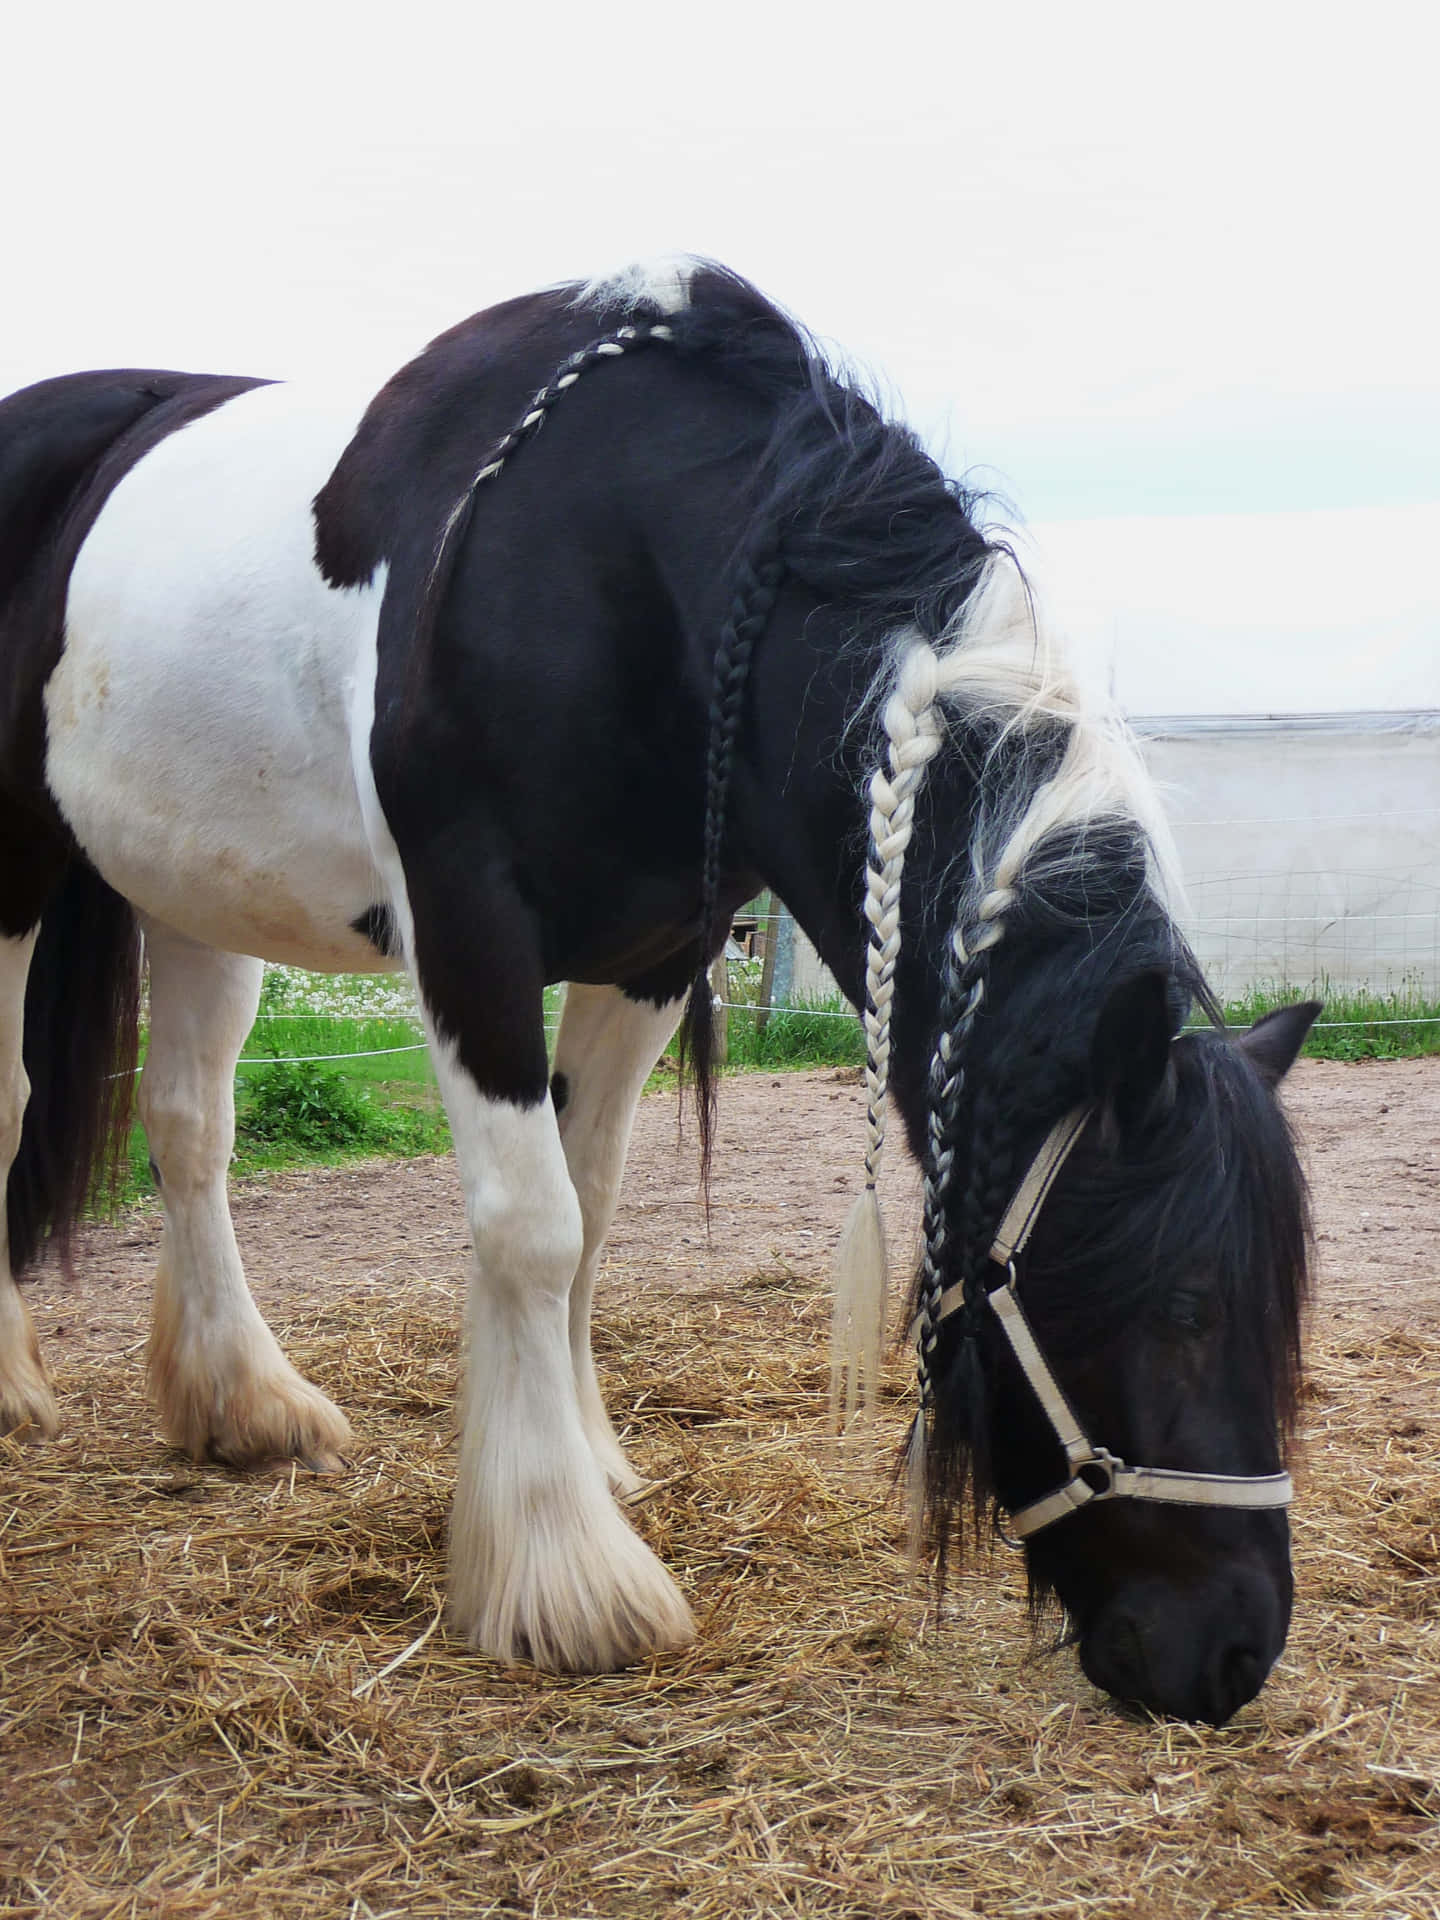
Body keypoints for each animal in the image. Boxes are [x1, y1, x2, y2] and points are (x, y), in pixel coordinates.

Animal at [0, 259, 1317, 1724]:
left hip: (196, 892)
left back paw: (243, 1403)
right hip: (11, 865)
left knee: (188, 1130)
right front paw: (563, 1571)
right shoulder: (470, 929)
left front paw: (582, 1470)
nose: (1235, 1650)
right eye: (1186, 1309)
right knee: (12, 1098)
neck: (632, 560)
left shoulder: (651, 956)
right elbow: (532, 1228)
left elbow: (592, 1209)